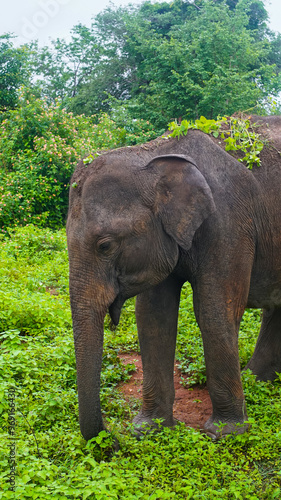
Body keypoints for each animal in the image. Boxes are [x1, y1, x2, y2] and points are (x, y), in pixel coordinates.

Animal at [66, 115, 280, 440]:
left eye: (105, 246)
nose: (112, 438)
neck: (154, 153)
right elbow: (153, 317)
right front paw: (149, 430)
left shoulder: (230, 223)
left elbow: (215, 312)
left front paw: (225, 434)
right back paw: (256, 382)